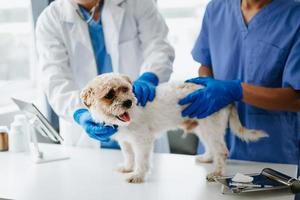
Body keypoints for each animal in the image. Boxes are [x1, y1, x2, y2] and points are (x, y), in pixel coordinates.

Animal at [79, 73, 268, 183]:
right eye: (109, 95)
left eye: (126, 89)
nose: (128, 102)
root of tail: (227, 95)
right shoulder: (125, 142)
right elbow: (129, 156)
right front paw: (128, 167)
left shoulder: (143, 141)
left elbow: (141, 160)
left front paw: (138, 175)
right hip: (202, 128)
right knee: (212, 148)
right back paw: (207, 158)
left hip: (211, 128)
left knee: (222, 151)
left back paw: (217, 173)